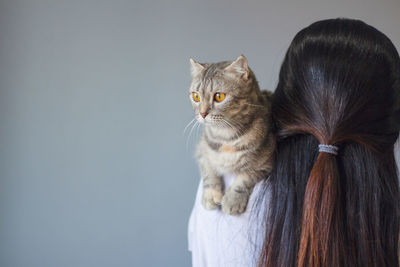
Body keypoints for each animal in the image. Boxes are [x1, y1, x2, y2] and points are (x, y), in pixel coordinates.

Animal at [188, 55, 276, 216]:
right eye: (196, 96)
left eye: (219, 96)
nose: (203, 113)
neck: (225, 136)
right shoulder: (201, 150)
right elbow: (209, 172)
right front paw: (211, 195)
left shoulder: (266, 160)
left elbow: (245, 177)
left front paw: (233, 200)